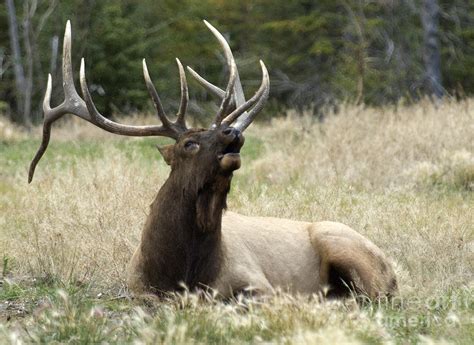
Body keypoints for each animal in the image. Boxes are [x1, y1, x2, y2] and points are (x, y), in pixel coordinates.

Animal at [28, 20, 396, 298]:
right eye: (189, 143)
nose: (232, 132)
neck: (182, 271)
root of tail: (392, 269)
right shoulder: (138, 290)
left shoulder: (258, 283)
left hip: (343, 246)